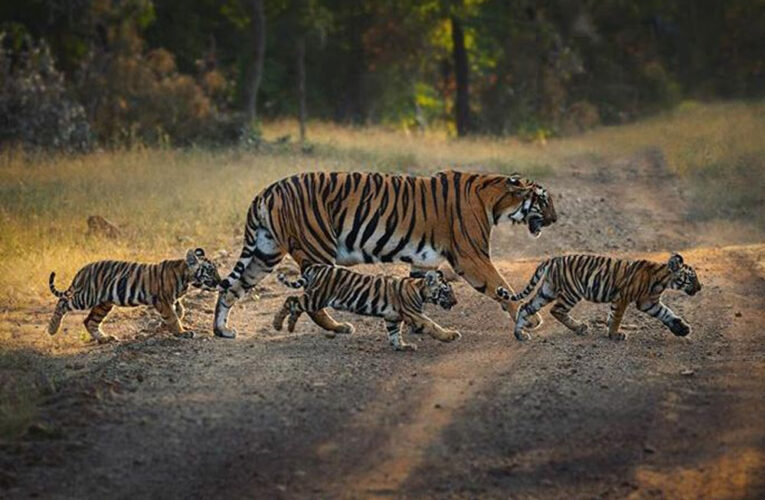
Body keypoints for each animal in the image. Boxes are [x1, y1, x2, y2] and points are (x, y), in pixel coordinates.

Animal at [215, 170, 556, 338]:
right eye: (544, 200)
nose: (555, 218)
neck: (496, 201)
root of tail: (266, 191)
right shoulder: (471, 257)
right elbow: (502, 286)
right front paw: (531, 319)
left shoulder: (424, 260)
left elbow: (419, 293)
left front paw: (416, 326)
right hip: (317, 249)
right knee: (311, 301)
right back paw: (338, 328)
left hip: (264, 253)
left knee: (230, 289)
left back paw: (222, 331)